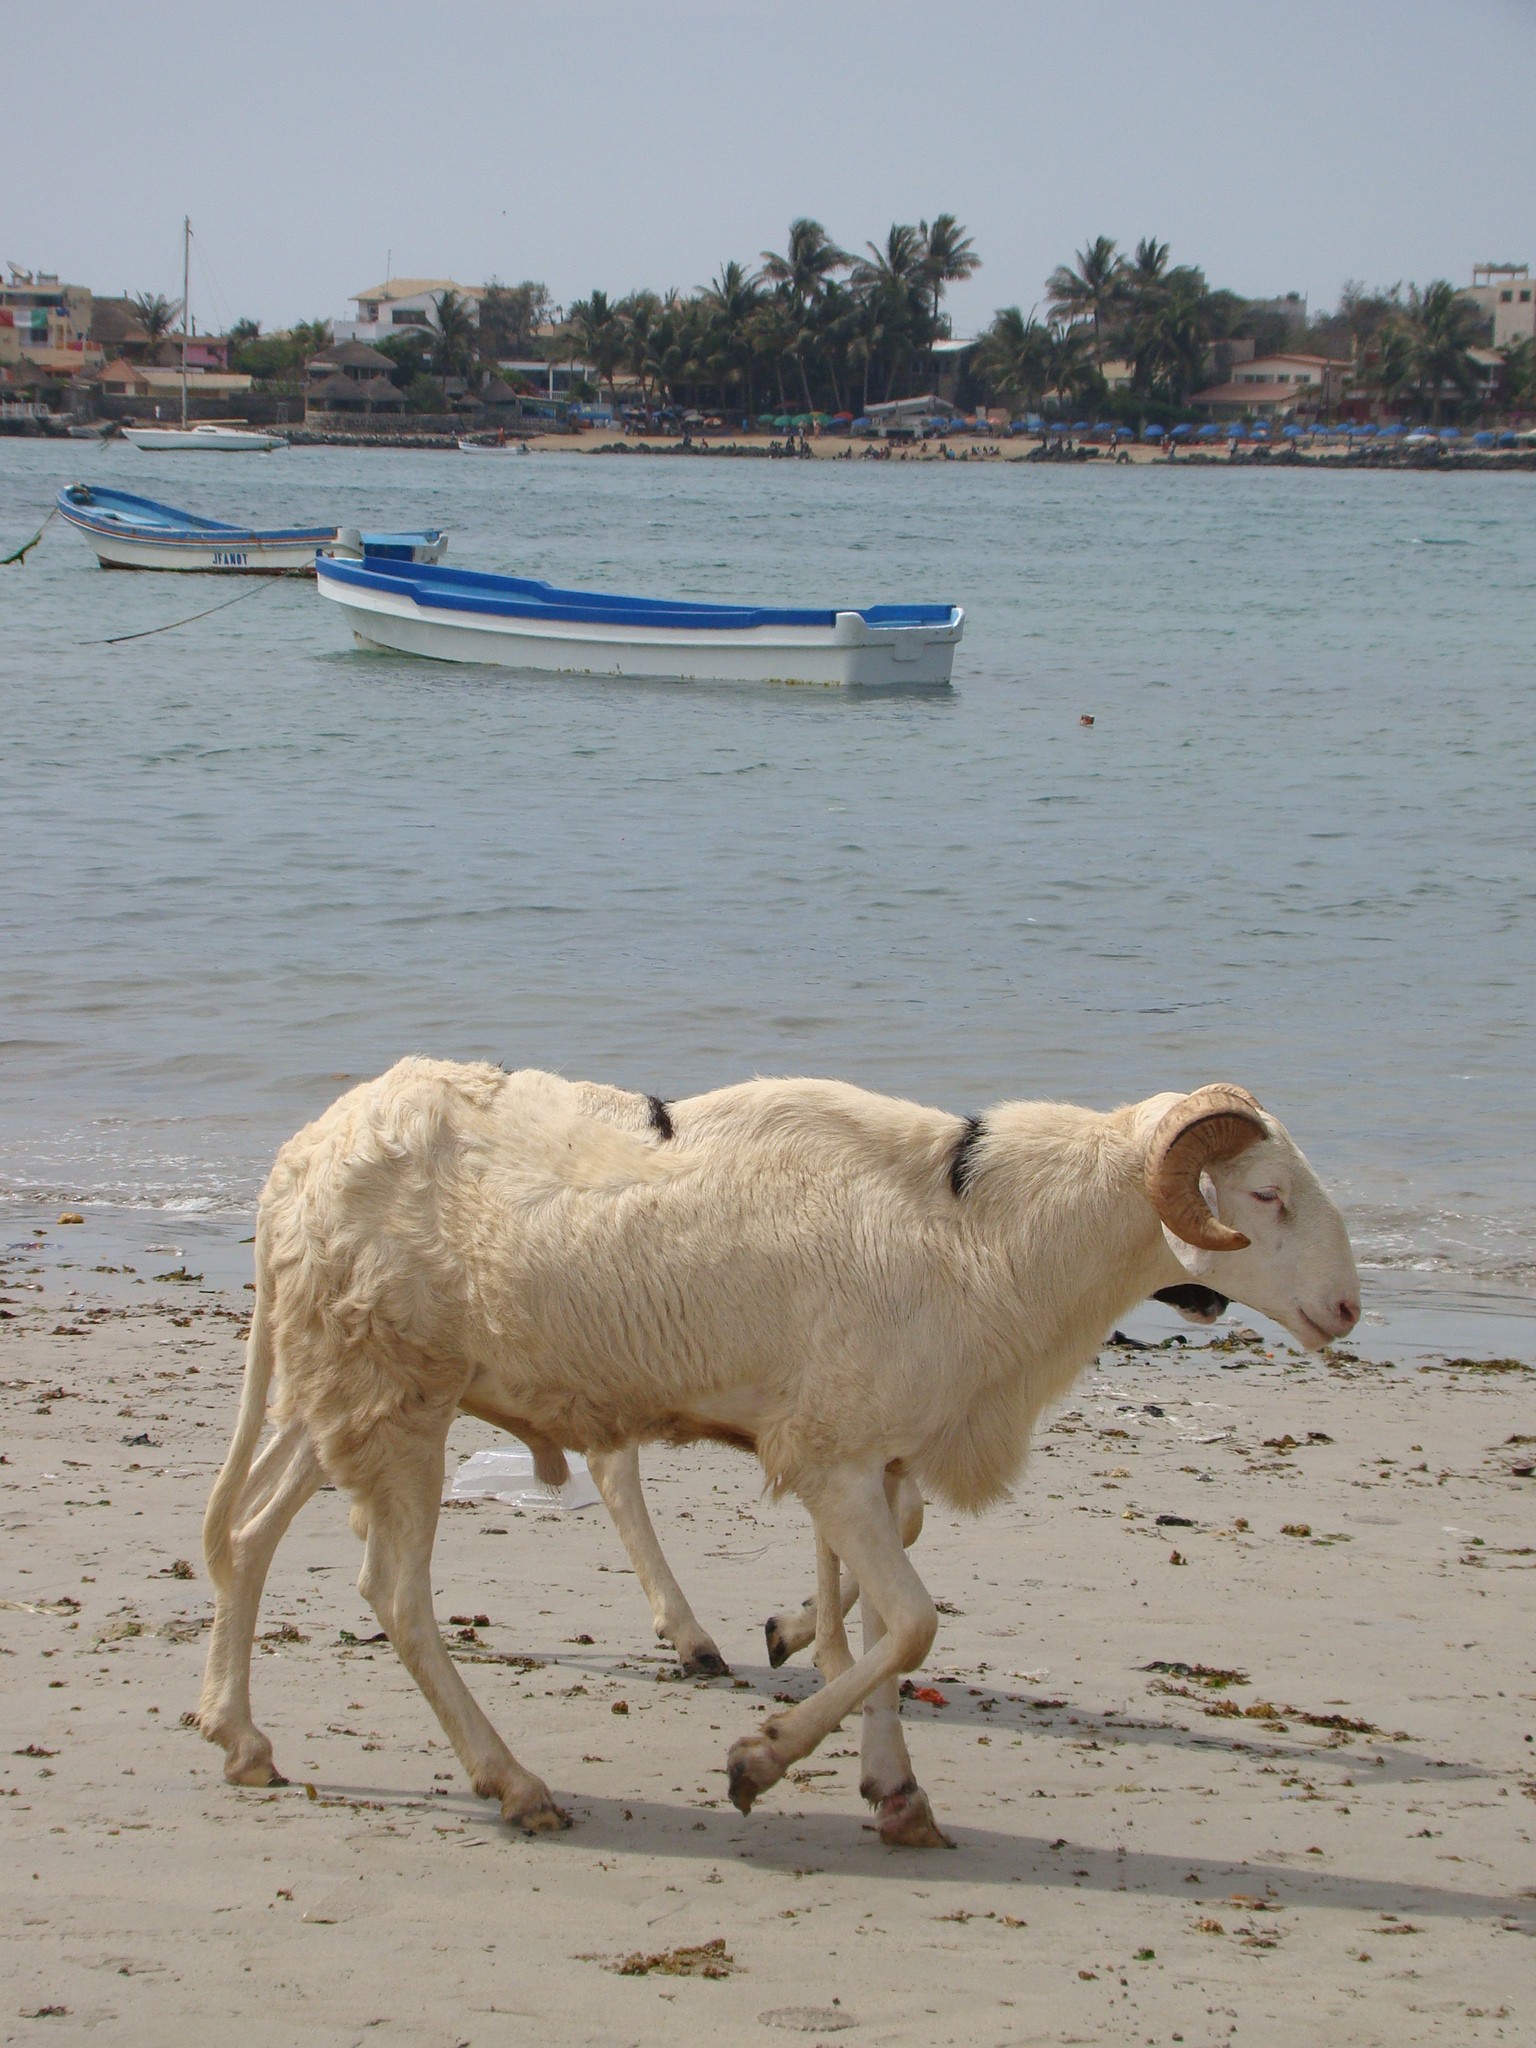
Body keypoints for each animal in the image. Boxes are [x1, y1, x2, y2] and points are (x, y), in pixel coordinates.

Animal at [199, 1059, 1359, 1847]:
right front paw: (761, 1758)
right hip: (391, 1400)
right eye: (1264, 1196)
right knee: (394, 1592)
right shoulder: (828, 1457)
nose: (1347, 1308)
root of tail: (296, 1164)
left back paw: (241, 1740)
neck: (983, 1232)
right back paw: (515, 1784)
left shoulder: (874, 1459)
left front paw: (894, 1793)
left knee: (249, 1537)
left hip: (350, 1393)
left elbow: (886, 1621)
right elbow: (913, 1622)